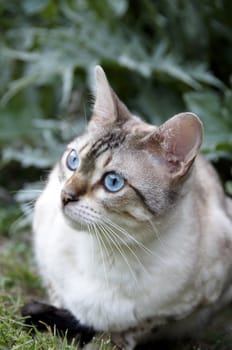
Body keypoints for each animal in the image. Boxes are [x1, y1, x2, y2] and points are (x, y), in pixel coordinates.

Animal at [22, 66, 232, 350]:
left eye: (113, 182)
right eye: (73, 160)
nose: (65, 195)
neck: (105, 250)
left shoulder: (186, 303)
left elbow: (134, 327)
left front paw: (105, 342)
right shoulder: (48, 264)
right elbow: (61, 300)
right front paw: (58, 334)